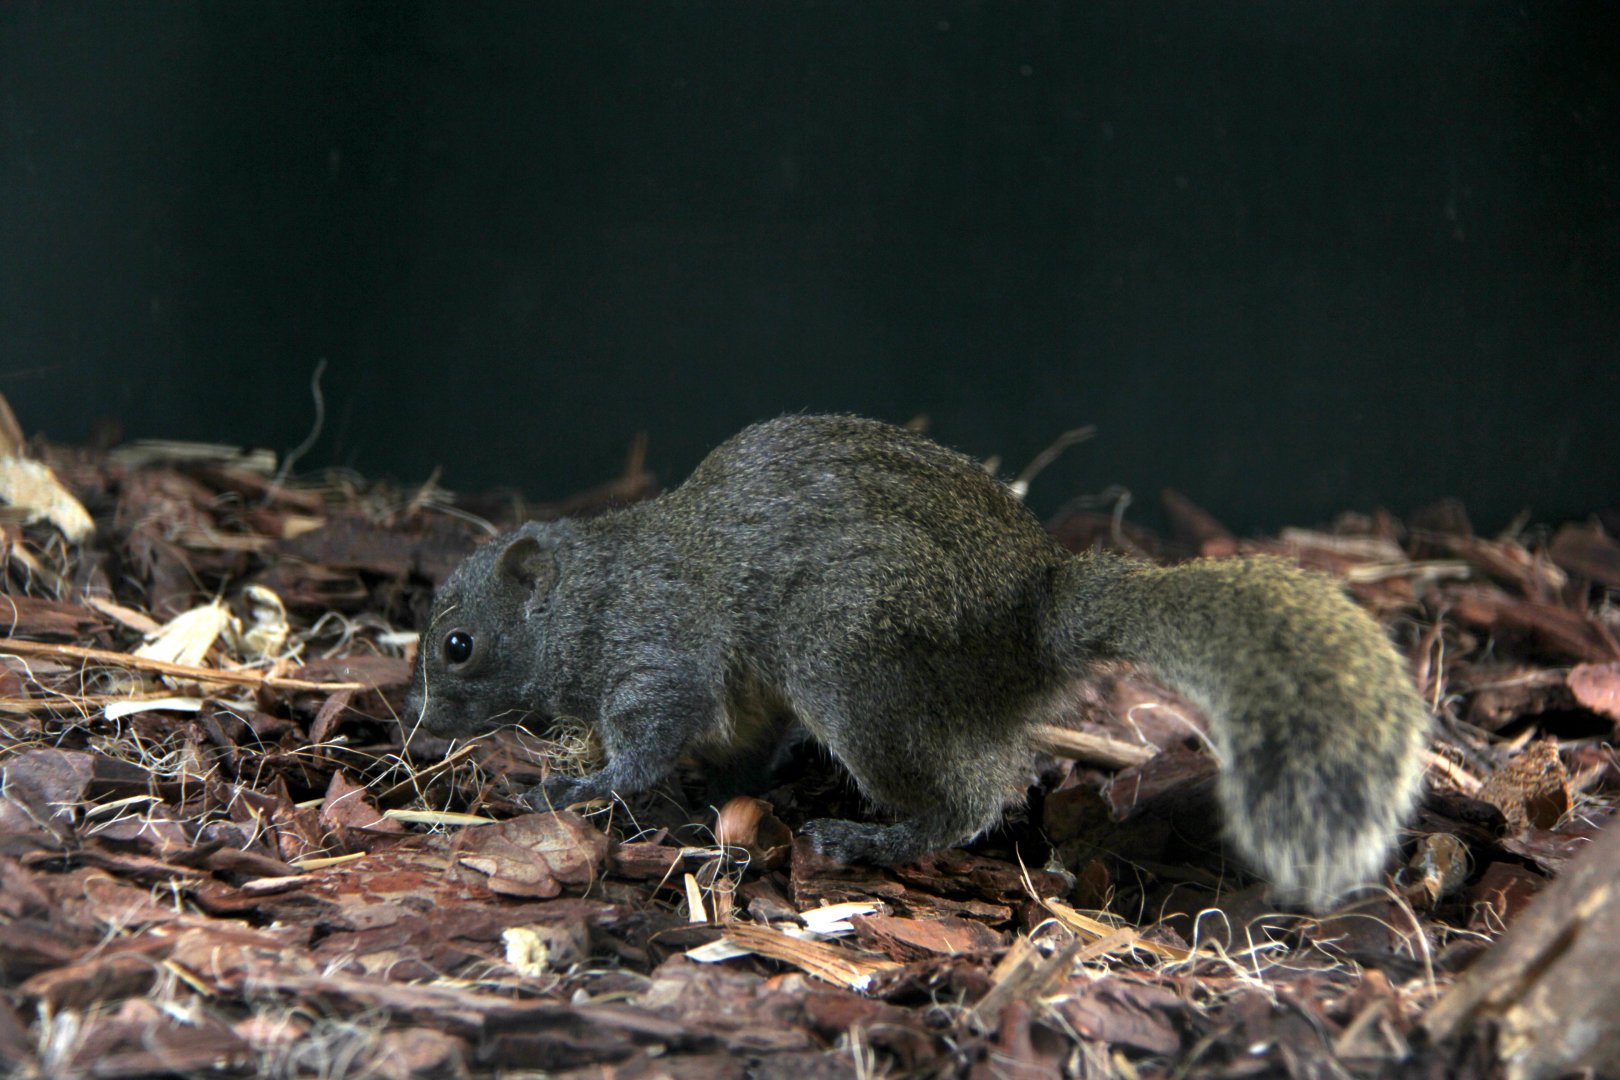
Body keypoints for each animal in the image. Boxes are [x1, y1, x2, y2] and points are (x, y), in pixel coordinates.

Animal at [405, 415, 1429, 909]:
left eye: (459, 646)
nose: (417, 729)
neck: (594, 589)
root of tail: (1034, 613)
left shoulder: (659, 652)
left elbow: (647, 742)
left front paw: (575, 787)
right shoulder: (745, 691)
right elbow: (744, 743)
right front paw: (716, 787)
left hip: (853, 666)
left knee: (973, 802)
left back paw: (867, 838)